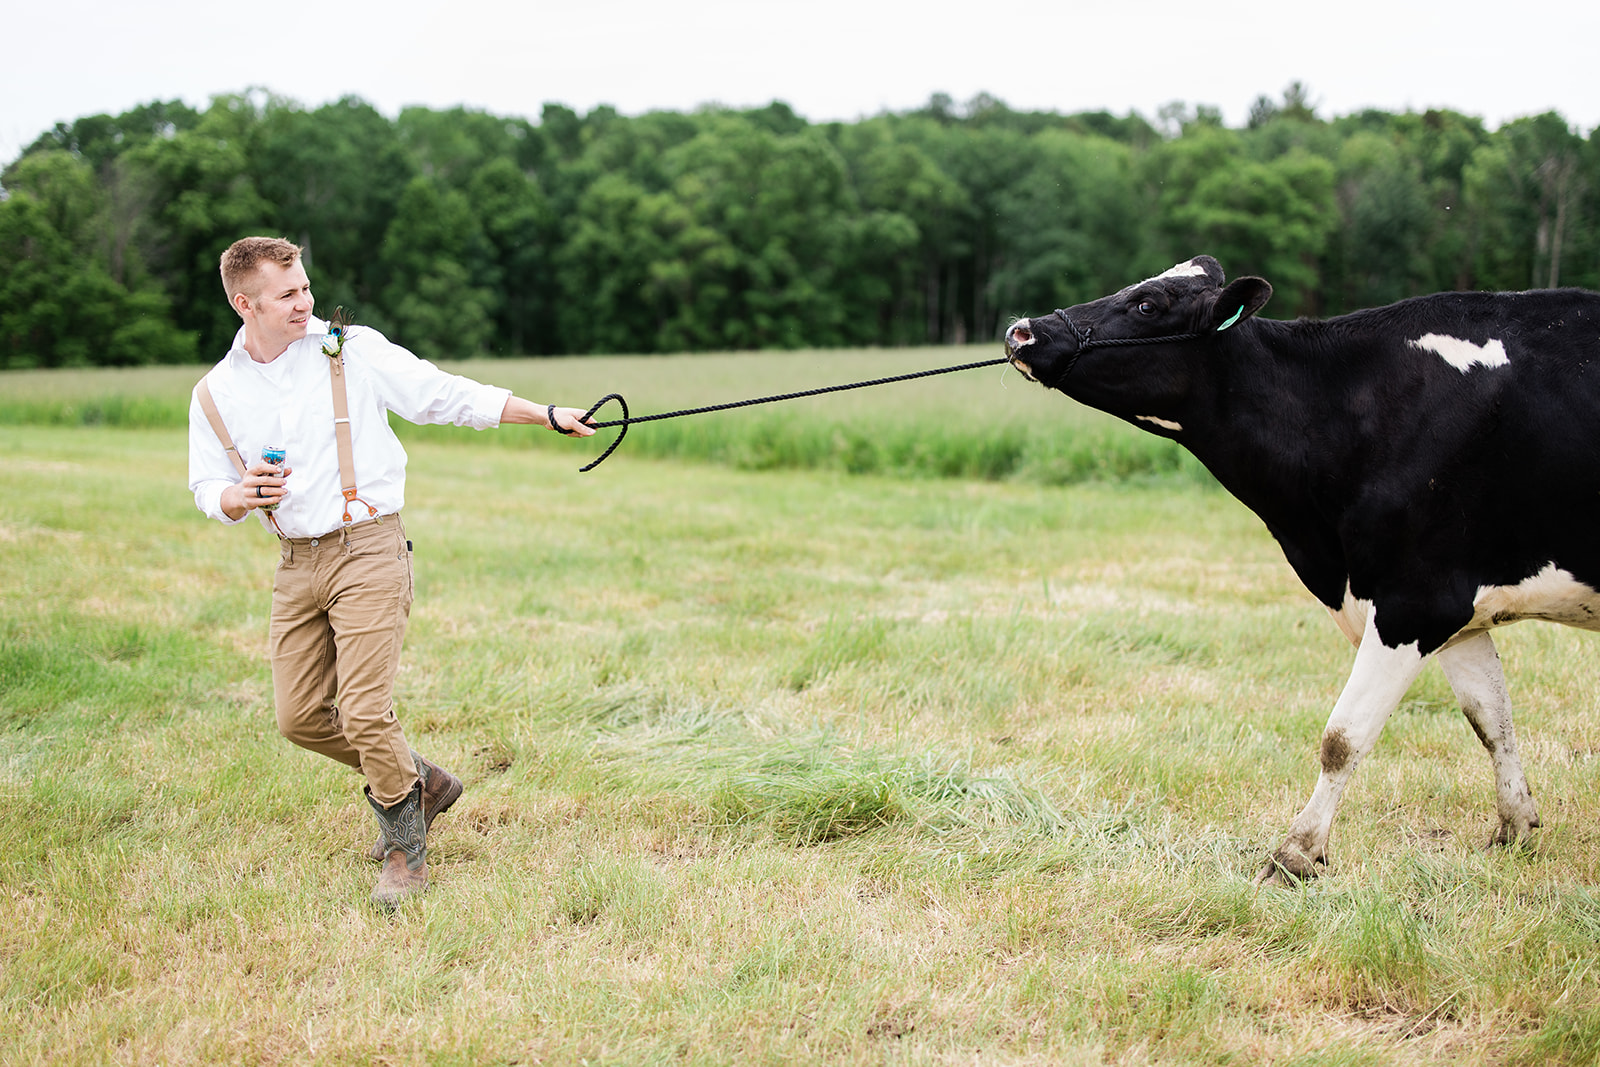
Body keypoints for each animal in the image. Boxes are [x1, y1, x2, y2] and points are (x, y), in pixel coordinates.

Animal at [1002, 255, 1600, 885]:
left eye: (1148, 304)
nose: (1024, 330)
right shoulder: (1459, 609)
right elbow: (1492, 719)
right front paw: (1515, 829)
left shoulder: (1417, 599)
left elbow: (1344, 736)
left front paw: (1296, 855)